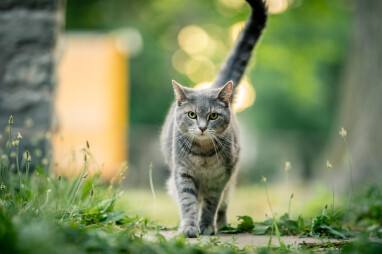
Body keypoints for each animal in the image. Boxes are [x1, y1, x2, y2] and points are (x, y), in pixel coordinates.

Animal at [160, 0, 268, 238]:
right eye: (192, 114)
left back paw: (222, 224)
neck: (203, 155)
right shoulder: (182, 174)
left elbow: (211, 204)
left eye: (213, 116)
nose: (201, 127)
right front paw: (189, 227)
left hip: (230, 182)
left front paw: (207, 226)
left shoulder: (220, 179)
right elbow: (188, 202)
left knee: (224, 204)